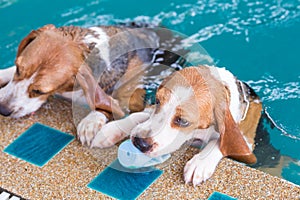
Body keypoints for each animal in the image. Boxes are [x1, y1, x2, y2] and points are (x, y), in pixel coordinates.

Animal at [89, 65, 262, 186]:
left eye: (183, 121)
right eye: (157, 100)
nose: (140, 143)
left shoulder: (245, 143)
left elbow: (220, 141)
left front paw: (200, 163)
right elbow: (139, 116)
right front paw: (112, 130)